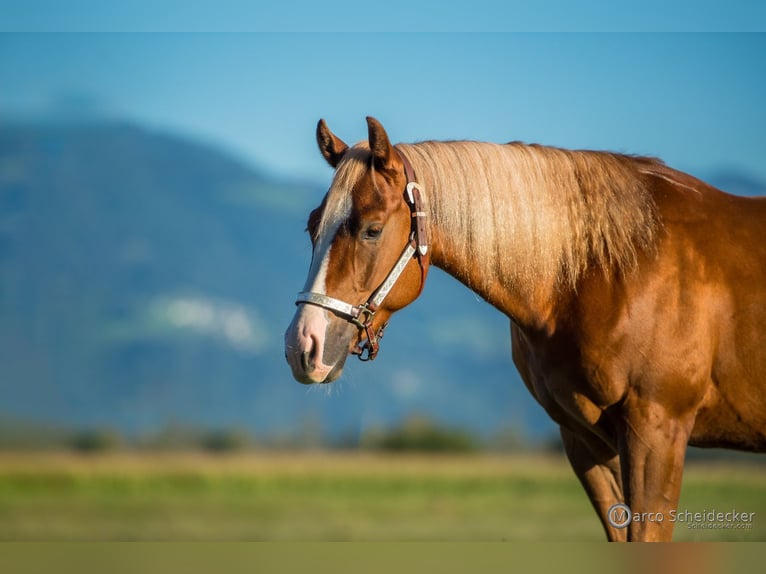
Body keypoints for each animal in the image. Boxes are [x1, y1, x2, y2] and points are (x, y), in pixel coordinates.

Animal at [284, 117, 766, 541]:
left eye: (372, 230)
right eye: (311, 226)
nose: (302, 346)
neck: (603, 270)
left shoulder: (656, 432)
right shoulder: (586, 440)